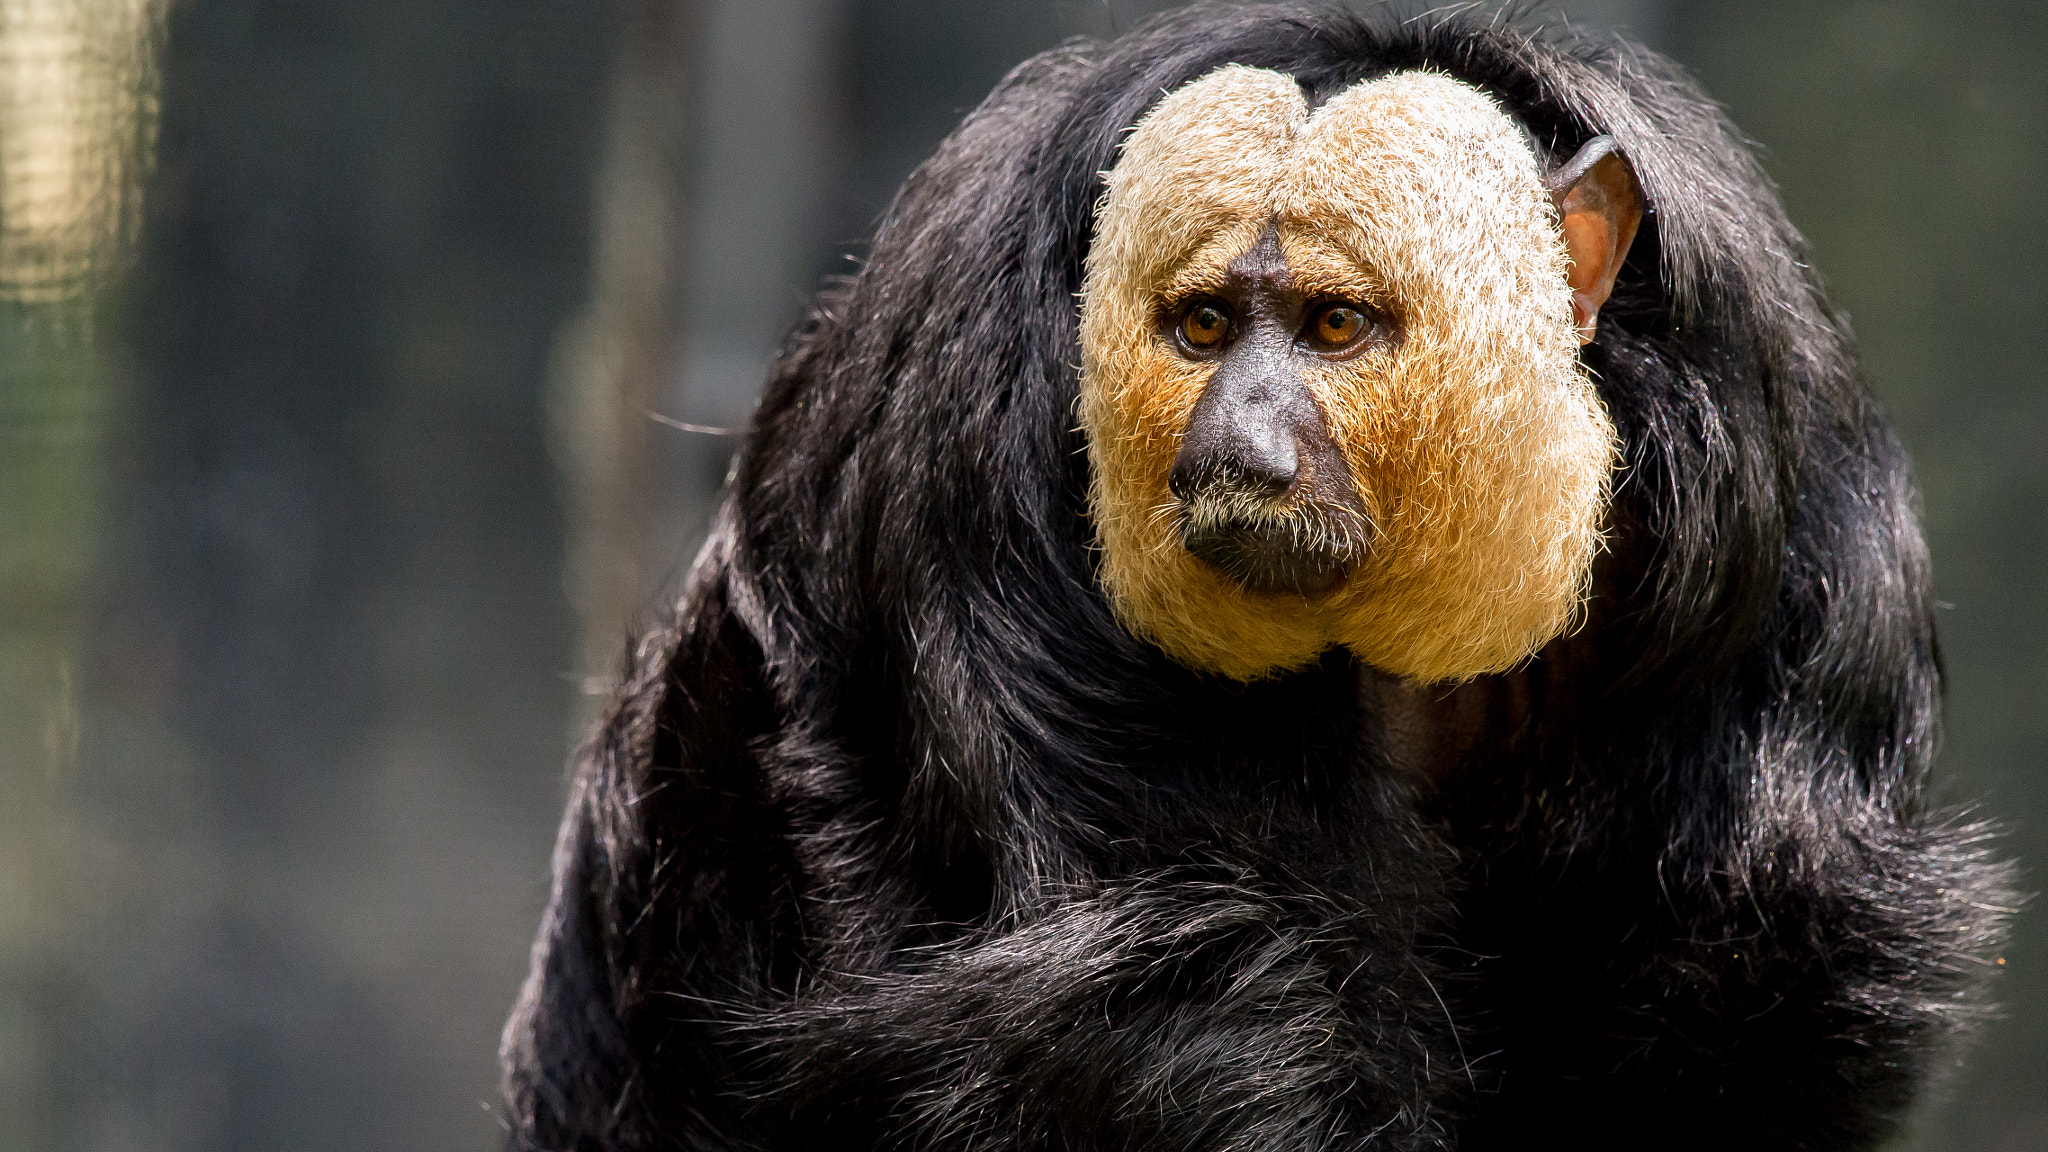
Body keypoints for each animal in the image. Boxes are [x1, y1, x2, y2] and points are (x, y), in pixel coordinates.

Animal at [501, 7, 2011, 1151]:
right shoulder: (982, 441)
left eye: (1335, 325)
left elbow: (1739, 974)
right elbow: (1179, 1001)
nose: (1239, 446)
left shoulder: (1781, 487)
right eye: (1203, 325)